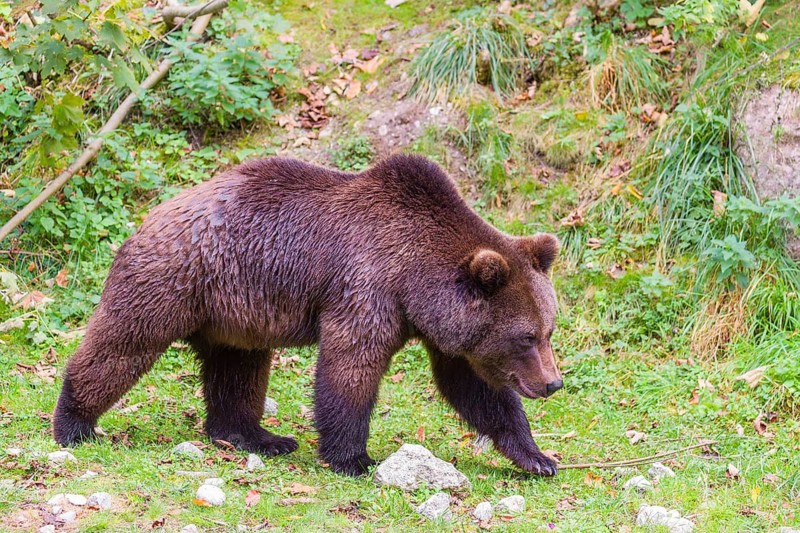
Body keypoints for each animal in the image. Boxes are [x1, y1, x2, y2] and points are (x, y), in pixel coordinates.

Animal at [53, 154, 563, 477]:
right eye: (526, 336)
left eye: (548, 330)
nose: (552, 383)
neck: (415, 278)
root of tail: (149, 214)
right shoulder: (366, 288)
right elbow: (350, 368)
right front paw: (353, 458)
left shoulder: (442, 328)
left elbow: (475, 388)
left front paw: (538, 457)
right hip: (174, 280)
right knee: (124, 343)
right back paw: (74, 423)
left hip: (234, 311)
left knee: (238, 370)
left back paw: (257, 436)